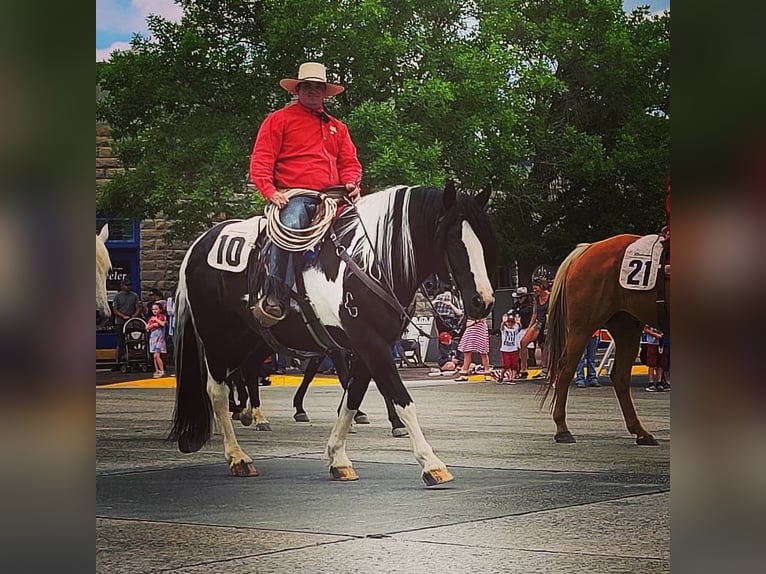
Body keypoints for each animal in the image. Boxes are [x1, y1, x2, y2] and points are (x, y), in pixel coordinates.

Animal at [170, 182, 498, 488]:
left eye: (484, 238)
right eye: (453, 240)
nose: (482, 301)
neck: (369, 265)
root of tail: (199, 244)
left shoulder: (368, 347)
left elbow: (351, 399)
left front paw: (338, 458)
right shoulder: (370, 344)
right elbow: (401, 399)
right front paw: (431, 463)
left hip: (251, 339)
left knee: (244, 374)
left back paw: (251, 417)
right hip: (217, 337)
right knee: (217, 390)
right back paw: (238, 456)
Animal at [544, 234, 668, 446]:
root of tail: (588, 248)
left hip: (627, 328)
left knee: (620, 376)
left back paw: (641, 432)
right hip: (582, 328)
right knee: (566, 368)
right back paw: (562, 429)